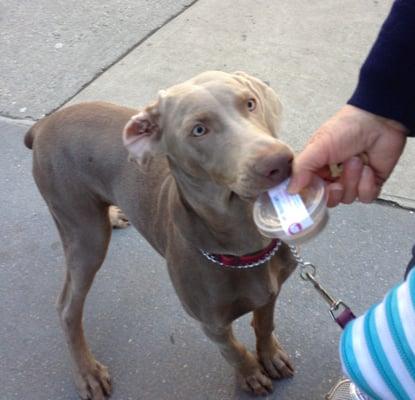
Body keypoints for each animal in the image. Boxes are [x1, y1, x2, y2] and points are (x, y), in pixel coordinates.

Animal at [24, 70, 300, 398]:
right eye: (198, 130)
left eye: (250, 102)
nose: (279, 161)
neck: (245, 244)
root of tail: (43, 124)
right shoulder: (211, 323)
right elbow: (232, 350)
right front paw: (250, 374)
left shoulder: (271, 288)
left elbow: (265, 323)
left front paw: (270, 356)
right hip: (83, 233)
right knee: (67, 308)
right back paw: (87, 372)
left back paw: (114, 214)